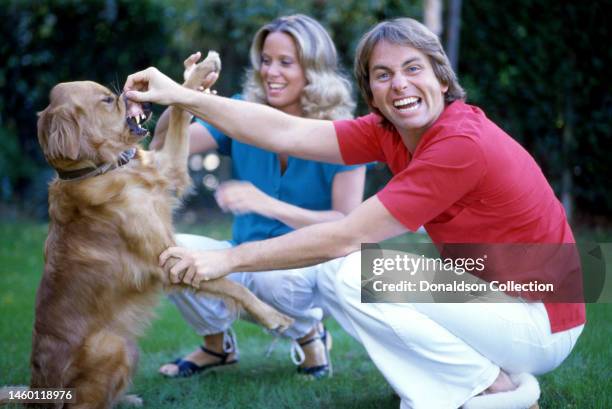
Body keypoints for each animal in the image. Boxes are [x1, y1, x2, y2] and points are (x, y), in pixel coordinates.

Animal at [0, 52, 292, 406]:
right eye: (108, 100)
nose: (141, 99)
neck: (106, 170)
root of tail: (37, 390)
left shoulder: (169, 168)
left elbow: (180, 109)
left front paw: (199, 73)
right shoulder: (168, 258)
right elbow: (232, 287)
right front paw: (273, 317)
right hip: (115, 346)